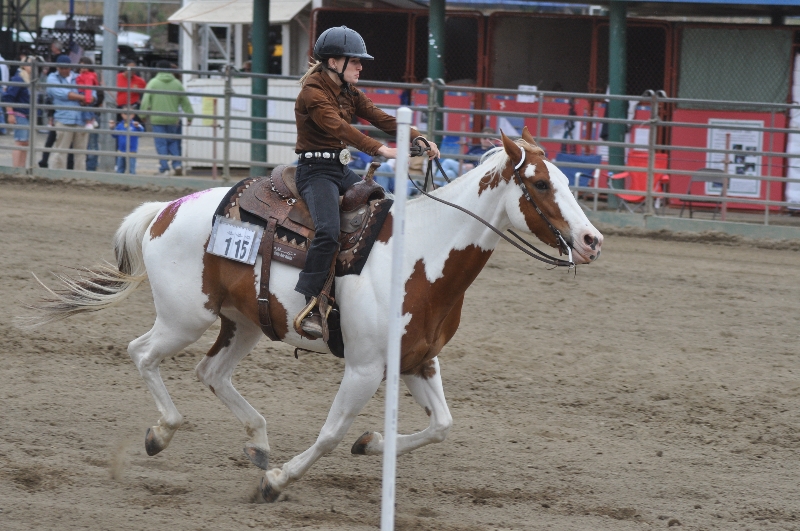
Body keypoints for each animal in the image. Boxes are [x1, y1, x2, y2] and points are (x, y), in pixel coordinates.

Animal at [28, 128, 604, 501]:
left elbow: (441, 425)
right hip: (185, 318)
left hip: (244, 323)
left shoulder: (418, 361)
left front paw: (369, 443)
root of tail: (165, 209)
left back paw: (258, 441)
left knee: (210, 372)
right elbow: (329, 433)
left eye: (567, 181)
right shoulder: (365, 368)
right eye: (542, 185)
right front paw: (277, 481)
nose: (592, 240)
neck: (421, 251)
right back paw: (163, 433)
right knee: (142, 353)